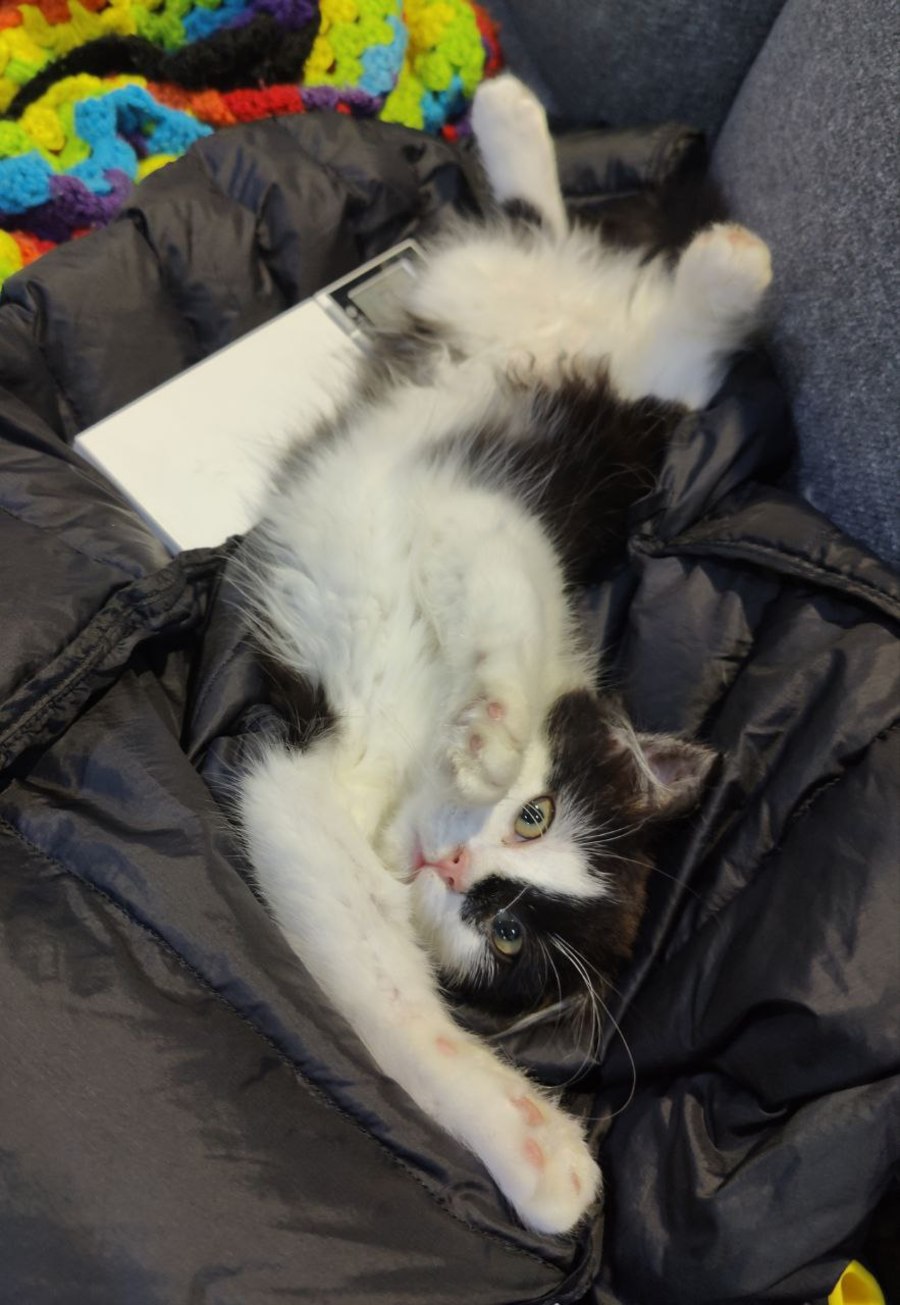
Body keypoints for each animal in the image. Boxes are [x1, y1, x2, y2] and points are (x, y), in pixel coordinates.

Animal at [236, 74, 772, 1236]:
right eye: (534, 813)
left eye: (512, 935)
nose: (456, 872)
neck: (396, 777)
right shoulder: (466, 520)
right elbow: (510, 605)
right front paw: (487, 738)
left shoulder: (304, 798)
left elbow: (391, 999)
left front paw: (533, 1148)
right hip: (530, 349)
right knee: (570, 268)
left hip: (597, 403)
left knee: (670, 360)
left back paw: (701, 257)